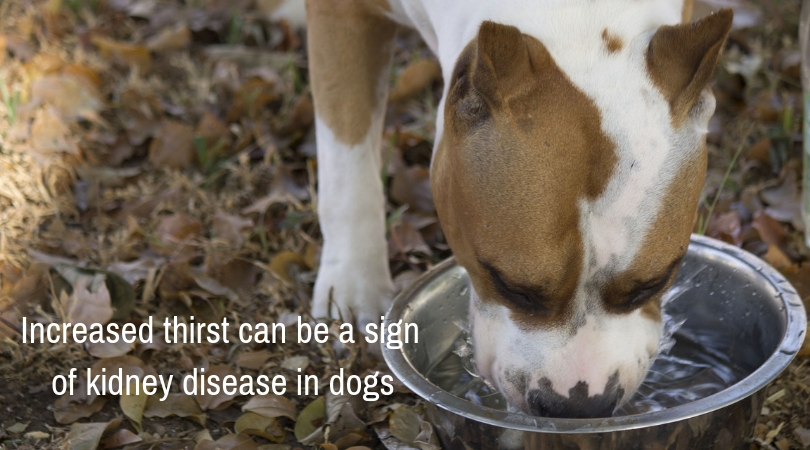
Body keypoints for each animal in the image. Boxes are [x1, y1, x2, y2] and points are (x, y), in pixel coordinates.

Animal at [304, 0, 732, 418]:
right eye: (511, 287)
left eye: (653, 283)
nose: (577, 406)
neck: (575, 13)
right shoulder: (341, 16)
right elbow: (345, 163)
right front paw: (352, 289)